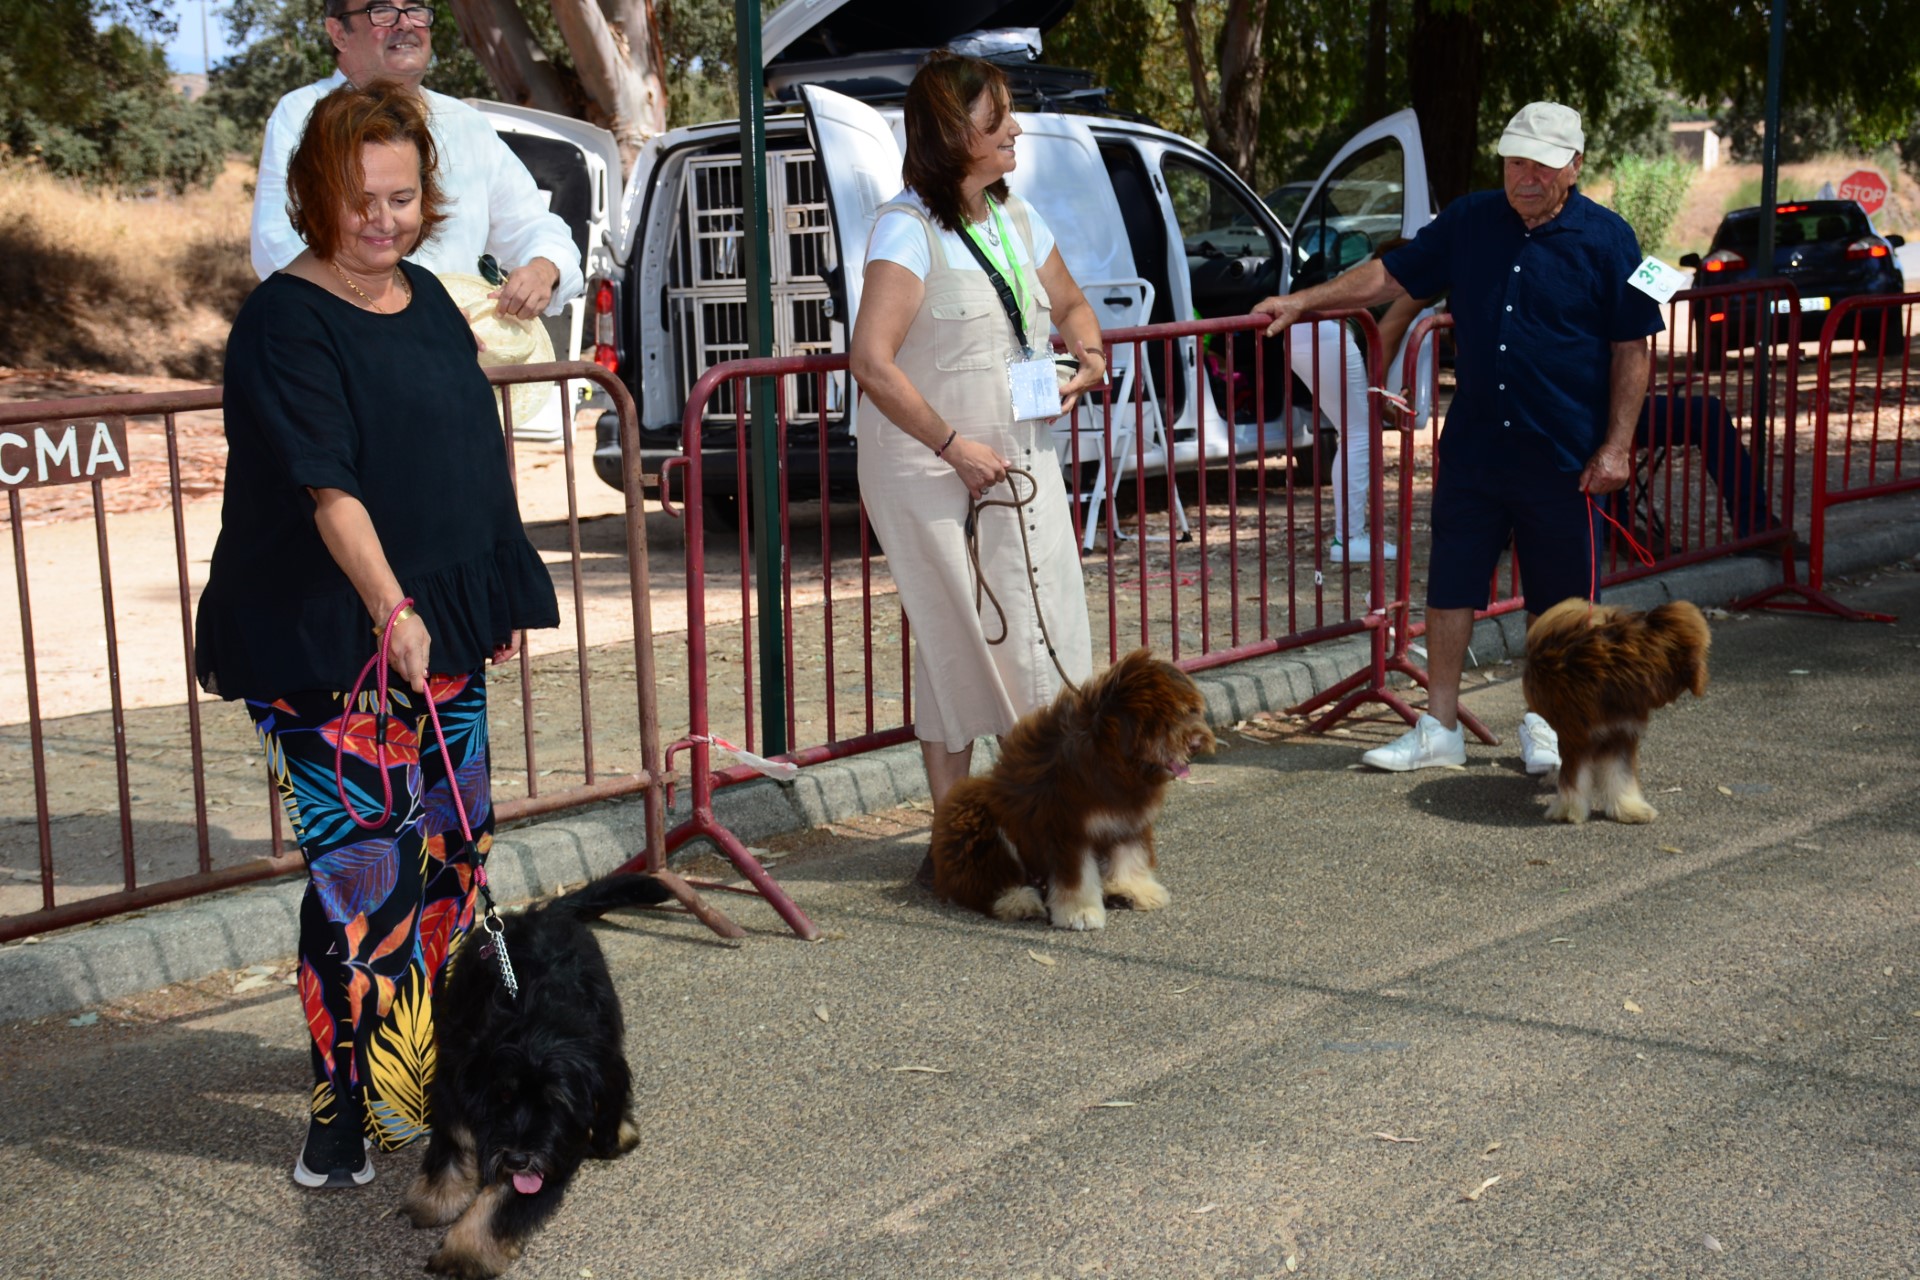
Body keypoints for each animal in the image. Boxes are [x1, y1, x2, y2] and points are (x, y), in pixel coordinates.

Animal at [403, 875, 668, 1274]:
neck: (533, 1021)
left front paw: (464, 1252)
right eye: (503, 1097)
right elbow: (455, 1143)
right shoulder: (456, 1084)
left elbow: (503, 1201)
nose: (516, 1160)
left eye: (554, 1105)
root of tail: (542, 911)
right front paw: (437, 1200)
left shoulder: (559, 1142)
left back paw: (617, 1133)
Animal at [929, 652, 1213, 932]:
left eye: (1192, 711)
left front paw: (1134, 888)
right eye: (1170, 717)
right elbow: (1077, 877)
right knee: (987, 881)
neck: (1108, 756)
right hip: (977, 815)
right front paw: (1081, 913)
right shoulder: (1067, 829)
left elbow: (1131, 855)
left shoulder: (1128, 821)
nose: (1197, 743)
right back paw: (1017, 901)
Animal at [1528, 598, 1712, 825]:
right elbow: (1574, 778)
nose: (1701, 681)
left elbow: (1621, 776)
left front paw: (1628, 808)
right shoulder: (1578, 737)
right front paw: (1570, 810)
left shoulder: (1620, 733)